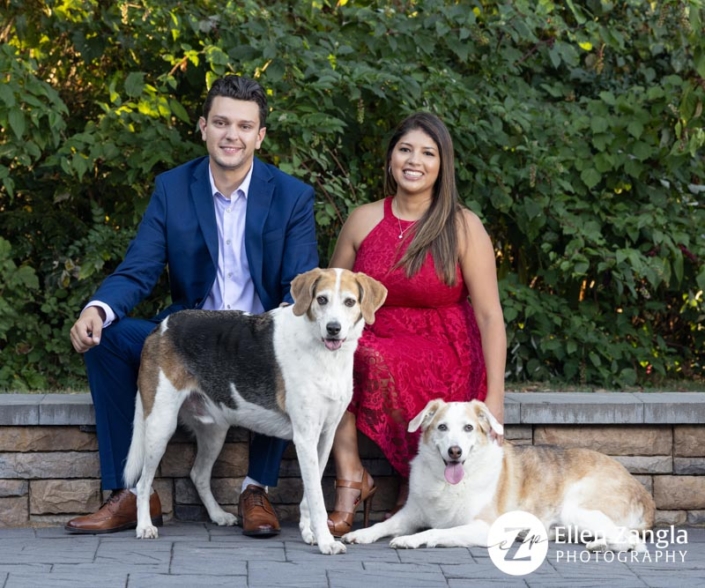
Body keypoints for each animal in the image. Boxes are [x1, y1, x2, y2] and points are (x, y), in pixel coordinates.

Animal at [121, 268, 384, 552]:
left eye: (349, 302)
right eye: (322, 299)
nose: (333, 329)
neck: (326, 355)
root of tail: (161, 327)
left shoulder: (325, 437)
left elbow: (308, 496)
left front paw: (309, 532)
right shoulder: (305, 438)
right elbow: (315, 497)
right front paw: (326, 541)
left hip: (214, 431)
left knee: (198, 474)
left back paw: (218, 515)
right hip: (160, 425)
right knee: (143, 483)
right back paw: (144, 526)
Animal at [344, 398, 656, 552]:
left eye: (469, 428)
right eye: (442, 427)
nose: (455, 451)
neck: (449, 484)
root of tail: (645, 494)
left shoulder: (483, 527)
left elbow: (437, 531)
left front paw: (412, 540)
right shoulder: (410, 514)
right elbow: (384, 525)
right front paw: (360, 534)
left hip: (576, 509)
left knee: (633, 542)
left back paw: (602, 546)